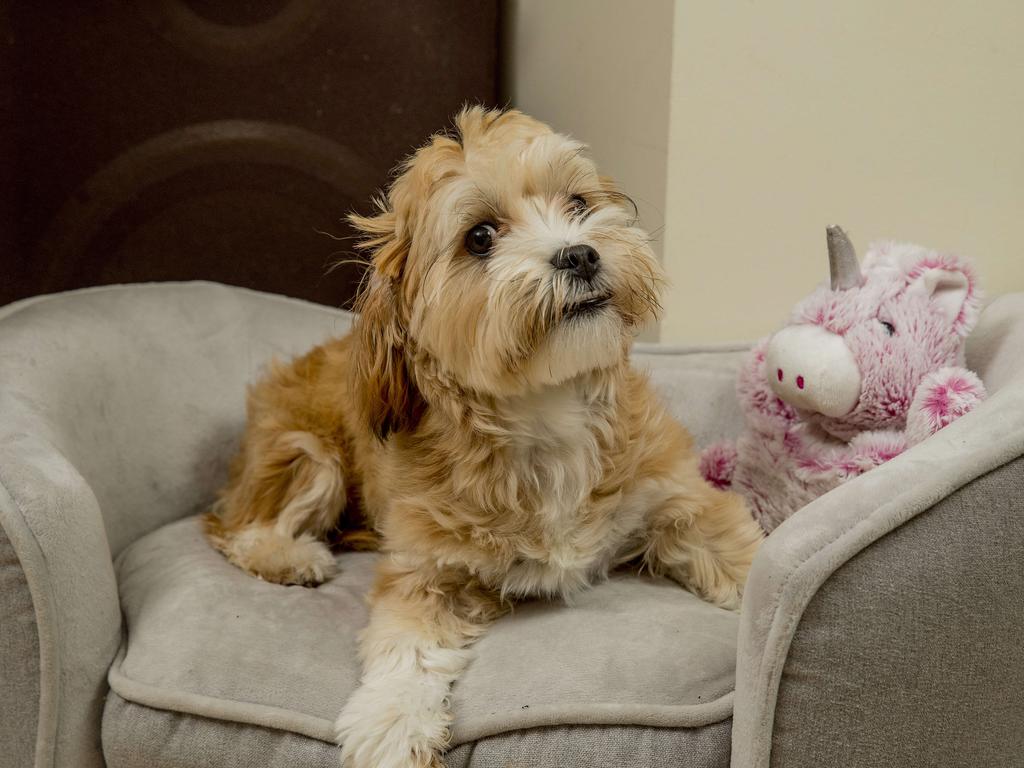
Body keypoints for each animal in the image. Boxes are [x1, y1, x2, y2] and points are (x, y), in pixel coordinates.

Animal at [203, 107, 761, 768]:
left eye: (577, 202)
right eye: (480, 237)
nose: (580, 255)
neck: (547, 413)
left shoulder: (680, 500)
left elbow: (743, 555)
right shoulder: (422, 571)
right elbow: (406, 650)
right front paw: (392, 723)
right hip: (308, 455)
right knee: (236, 530)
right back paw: (293, 556)